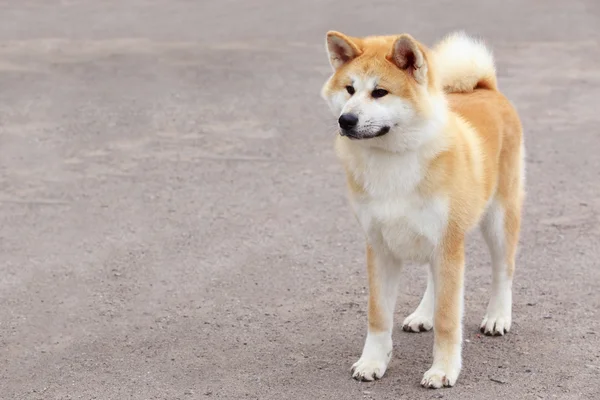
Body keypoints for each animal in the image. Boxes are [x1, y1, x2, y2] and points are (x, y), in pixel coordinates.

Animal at [322, 30, 524, 388]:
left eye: (379, 92)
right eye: (349, 89)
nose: (345, 120)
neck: (392, 161)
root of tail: (484, 87)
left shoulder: (447, 244)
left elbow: (448, 319)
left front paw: (443, 370)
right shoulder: (380, 248)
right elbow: (378, 316)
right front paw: (373, 362)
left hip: (498, 221)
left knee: (503, 271)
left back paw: (497, 317)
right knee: (435, 280)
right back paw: (422, 314)